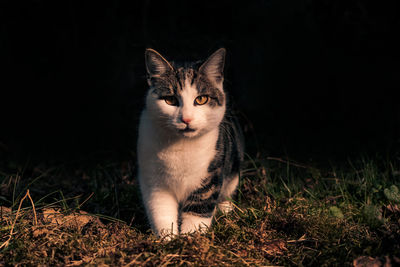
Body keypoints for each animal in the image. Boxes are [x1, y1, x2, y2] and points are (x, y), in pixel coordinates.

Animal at [138, 47, 244, 237]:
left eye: (201, 99)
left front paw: (191, 240)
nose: (186, 119)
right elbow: (161, 211)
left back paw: (226, 210)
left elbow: (198, 211)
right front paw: (168, 239)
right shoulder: (154, 180)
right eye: (170, 100)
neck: (181, 146)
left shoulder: (210, 174)